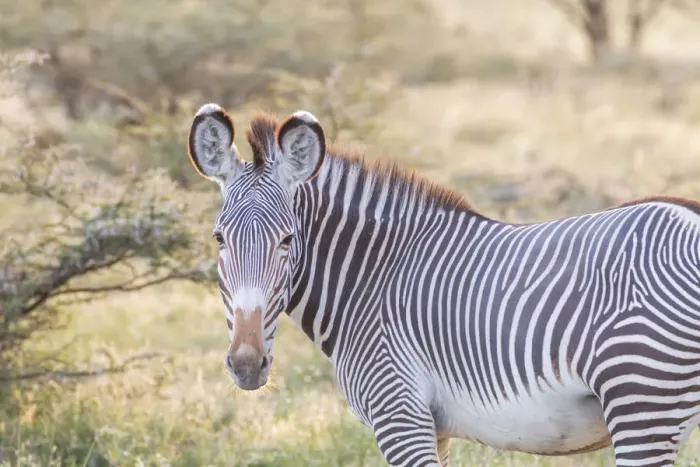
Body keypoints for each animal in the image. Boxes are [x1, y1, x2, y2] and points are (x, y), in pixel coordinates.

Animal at [185, 102, 700, 467]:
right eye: (219, 239)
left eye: (288, 240)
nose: (246, 365)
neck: (372, 278)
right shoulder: (435, 428)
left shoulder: (399, 411)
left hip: (641, 400)